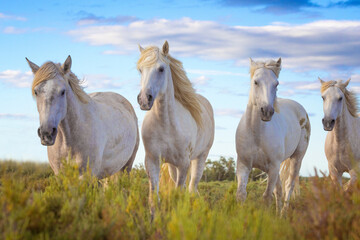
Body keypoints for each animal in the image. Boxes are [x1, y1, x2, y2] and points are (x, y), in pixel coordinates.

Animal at [136, 41, 215, 210]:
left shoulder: (184, 164)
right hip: (172, 165)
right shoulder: (152, 160)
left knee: (192, 187)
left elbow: (179, 194)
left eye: (161, 69)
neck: (167, 125)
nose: (144, 100)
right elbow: (154, 197)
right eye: (140, 70)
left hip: (200, 158)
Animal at [236, 58, 310, 214]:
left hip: (296, 159)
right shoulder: (243, 164)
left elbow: (266, 197)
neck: (256, 134)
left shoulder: (273, 167)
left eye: (276, 84)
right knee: (280, 190)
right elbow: (241, 194)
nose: (267, 111)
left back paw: (283, 214)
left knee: (289, 186)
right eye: (255, 82)